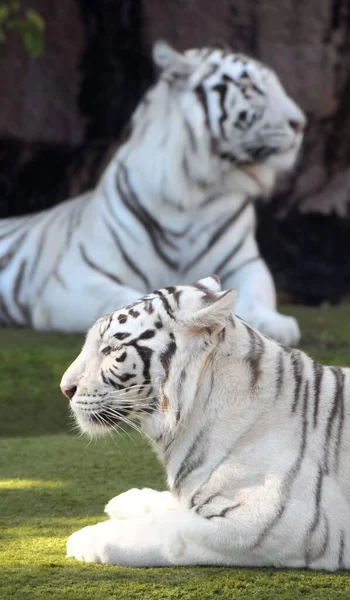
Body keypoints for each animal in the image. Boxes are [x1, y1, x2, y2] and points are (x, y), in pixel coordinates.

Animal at [0, 41, 304, 342]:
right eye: (250, 87)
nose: (301, 124)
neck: (195, 194)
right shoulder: (74, 278)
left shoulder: (245, 264)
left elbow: (257, 295)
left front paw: (274, 324)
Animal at [60, 274, 350, 568]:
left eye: (113, 349)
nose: (65, 388)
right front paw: (128, 500)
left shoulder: (271, 522)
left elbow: (166, 528)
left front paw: (84, 537)